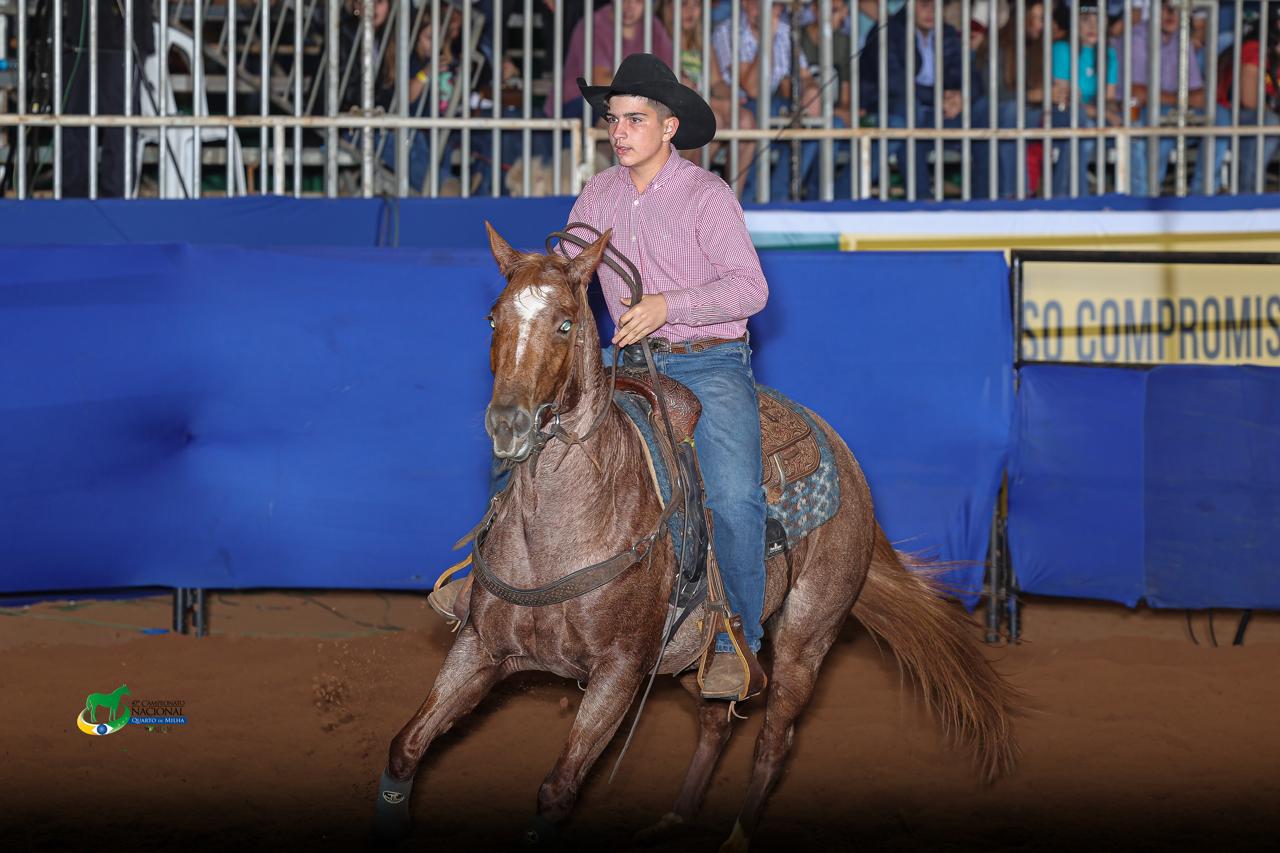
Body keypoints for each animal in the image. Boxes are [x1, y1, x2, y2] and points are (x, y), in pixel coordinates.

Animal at [373, 222, 1018, 845]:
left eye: (564, 323)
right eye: (493, 318)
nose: (508, 424)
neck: (559, 535)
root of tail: (843, 454)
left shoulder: (617, 673)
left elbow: (557, 791)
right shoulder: (480, 648)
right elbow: (404, 747)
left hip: (806, 638)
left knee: (773, 741)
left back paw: (736, 835)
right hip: (695, 658)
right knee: (714, 719)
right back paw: (676, 819)